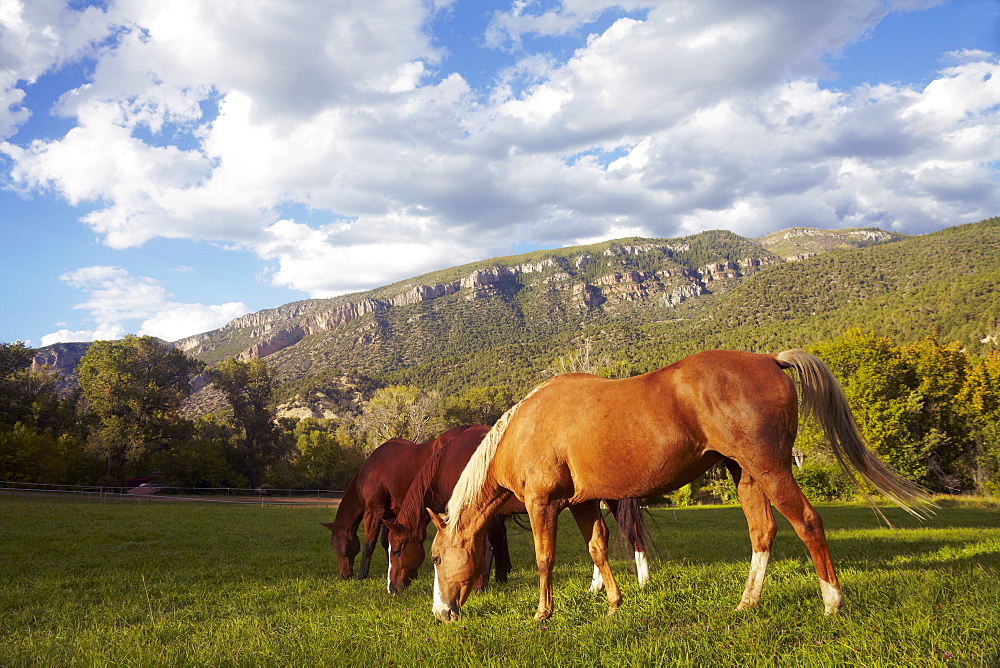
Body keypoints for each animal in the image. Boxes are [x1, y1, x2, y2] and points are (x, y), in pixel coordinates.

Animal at [324, 428, 472, 580]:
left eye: (333, 543)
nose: (343, 575)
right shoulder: (390, 516)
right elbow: (386, 542)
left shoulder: (373, 512)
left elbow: (369, 544)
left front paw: (362, 574)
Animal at [382, 422, 656, 596]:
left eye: (396, 551)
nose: (392, 589)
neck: (448, 464)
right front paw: (499, 578)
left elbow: (485, 546)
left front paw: (480, 585)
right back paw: (596, 586)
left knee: (631, 531)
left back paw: (644, 580)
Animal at [424, 350, 928, 620]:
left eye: (436, 558)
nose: (441, 612)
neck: (525, 429)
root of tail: (769, 359)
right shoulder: (581, 503)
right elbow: (598, 549)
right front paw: (614, 605)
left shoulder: (542, 504)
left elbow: (546, 559)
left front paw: (542, 614)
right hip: (745, 475)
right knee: (762, 533)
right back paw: (747, 604)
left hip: (771, 470)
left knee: (807, 523)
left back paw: (832, 602)